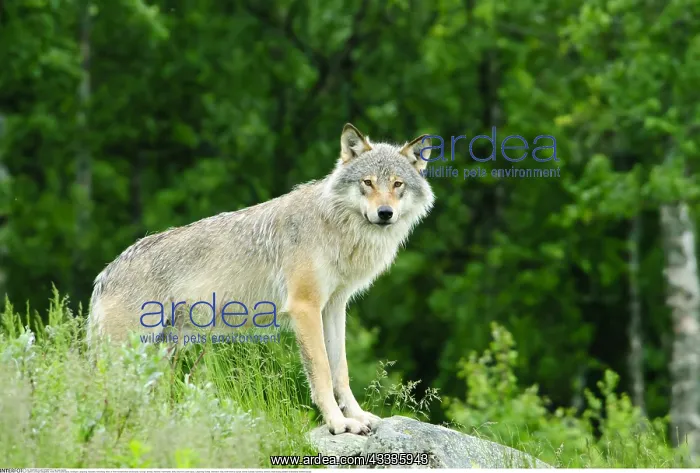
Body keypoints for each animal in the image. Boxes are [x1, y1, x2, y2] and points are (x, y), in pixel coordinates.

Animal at [87, 123, 435, 435]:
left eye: (398, 184)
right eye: (368, 183)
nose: (385, 213)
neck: (334, 228)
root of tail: (106, 272)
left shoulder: (334, 307)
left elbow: (341, 370)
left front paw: (359, 416)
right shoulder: (305, 308)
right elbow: (322, 371)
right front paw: (338, 423)